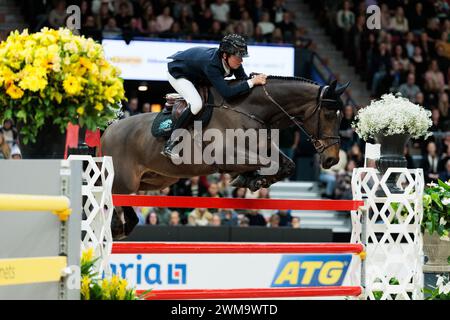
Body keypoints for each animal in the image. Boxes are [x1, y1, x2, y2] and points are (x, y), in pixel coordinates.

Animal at [101, 76, 348, 239]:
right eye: (328, 114)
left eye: (341, 116)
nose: (332, 160)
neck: (252, 111)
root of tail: (108, 129)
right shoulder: (225, 157)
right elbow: (268, 163)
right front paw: (250, 179)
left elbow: (286, 165)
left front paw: (253, 179)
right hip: (124, 181)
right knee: (112, 200)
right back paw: (114, 229)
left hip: (154, 180)